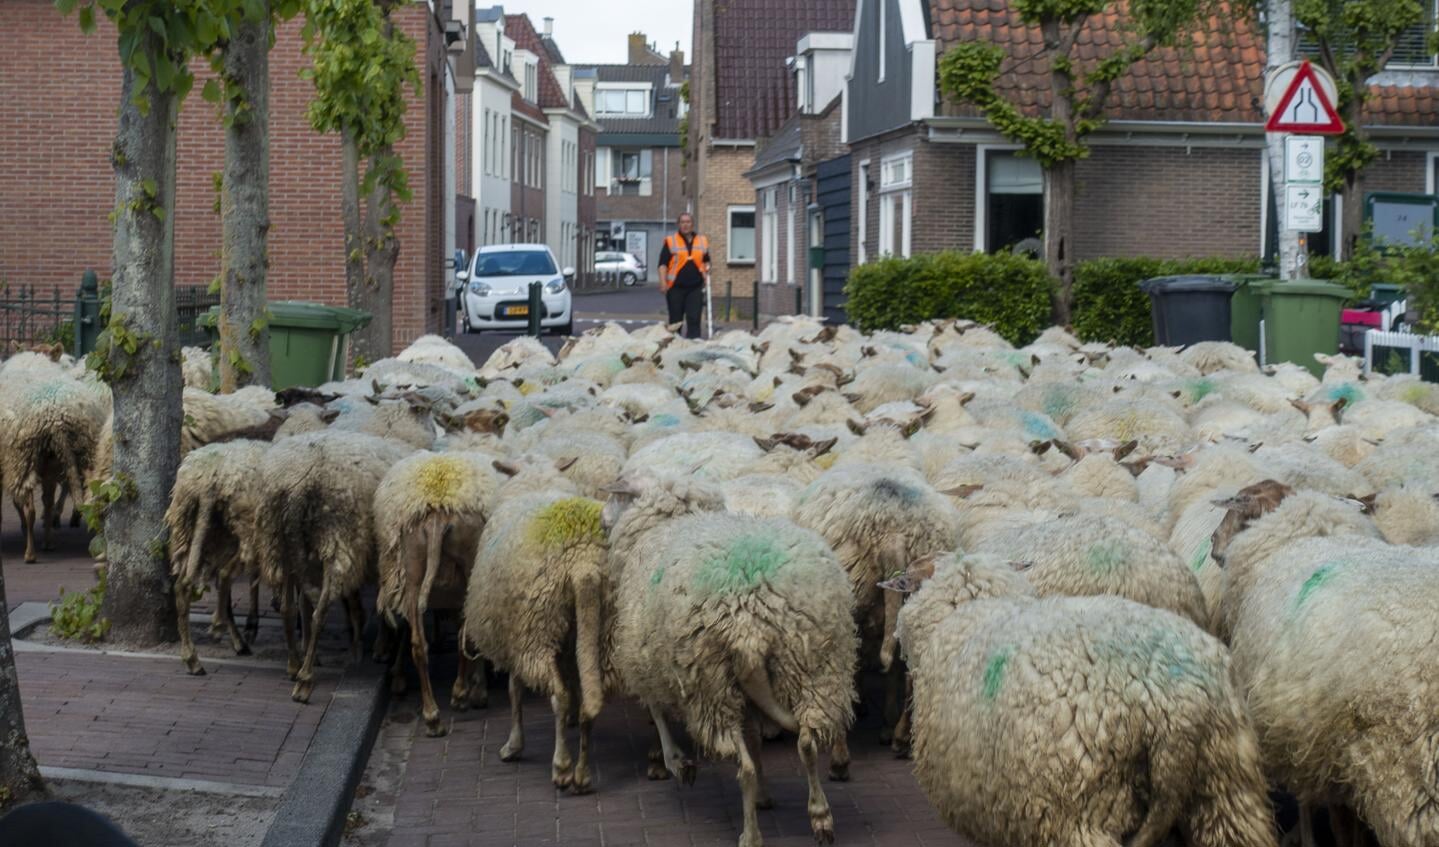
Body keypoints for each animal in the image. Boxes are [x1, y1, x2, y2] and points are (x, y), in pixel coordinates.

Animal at [604, 474, 851, 845]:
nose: (602, 519)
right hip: (812, 668)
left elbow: (658, 714)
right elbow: (755, 739)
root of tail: (749, 620)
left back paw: (751, 836)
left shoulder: (646, 663)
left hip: (711, 687)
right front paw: (764, 795)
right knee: (807, 741)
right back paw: (821, 817)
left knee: (743, 766)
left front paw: (678, 764)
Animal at [1203, 488, 1439, 845]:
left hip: (1408, 785)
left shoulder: (1331, 753)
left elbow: (1341, 828)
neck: (1307, 535)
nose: (1214, 542)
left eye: (1241, 513)